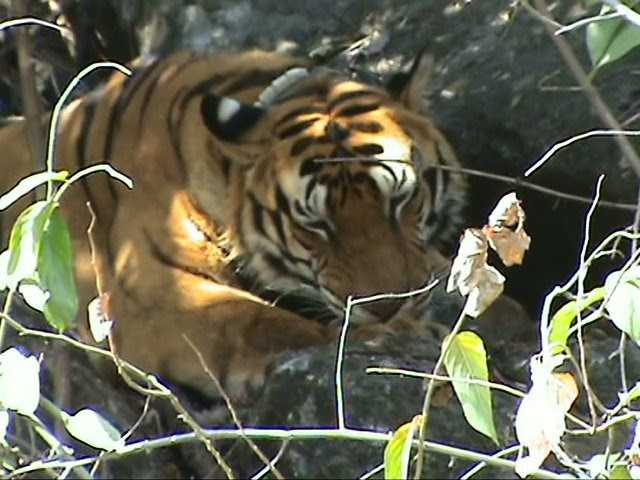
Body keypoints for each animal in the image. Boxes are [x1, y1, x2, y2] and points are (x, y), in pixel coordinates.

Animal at [0, 49, 466, 401]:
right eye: (315, 224)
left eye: (401, 201)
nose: (390, 307)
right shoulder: (146, 289)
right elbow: (262, 321)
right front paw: (402, 339)